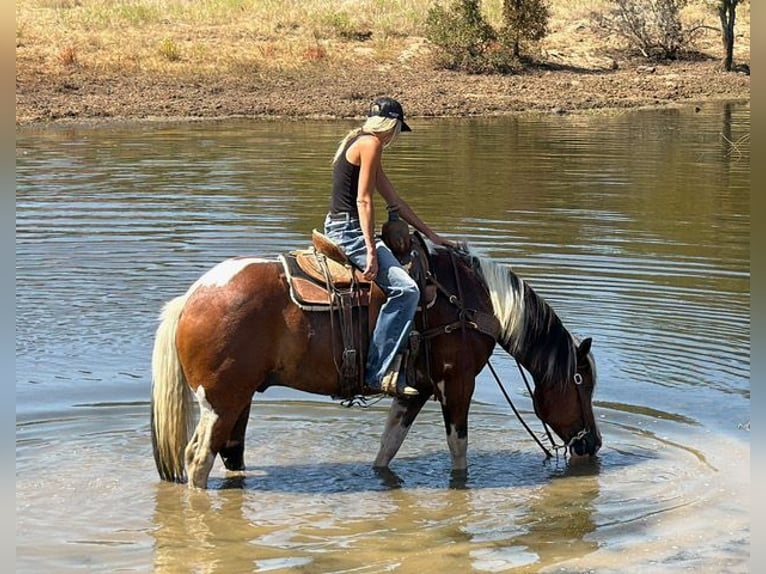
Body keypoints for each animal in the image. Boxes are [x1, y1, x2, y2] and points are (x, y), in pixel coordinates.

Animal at [150, 245, 601, 489]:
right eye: (582, 383)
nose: (592, 444)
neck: (468, 302)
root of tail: (192, 297)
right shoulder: (457, 383)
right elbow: (458, 449)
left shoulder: (416, 390)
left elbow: (388, 447)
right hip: (222, 403)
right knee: (198, 459)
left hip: (240, 401)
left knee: (231, 455)